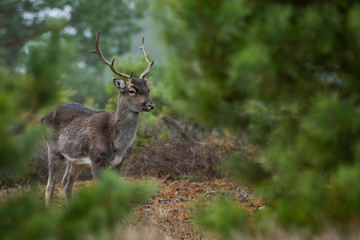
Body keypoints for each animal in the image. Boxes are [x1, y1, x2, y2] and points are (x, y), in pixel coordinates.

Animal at [42, 30, 155, 206]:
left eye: (148, 89)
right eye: (132, 90)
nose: (151, 105)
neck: (117, 144)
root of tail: (43, 118)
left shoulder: (118, 163)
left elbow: (112, 192)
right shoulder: (96, 160)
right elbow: (101, 192)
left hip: (75, 160)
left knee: (66, 183)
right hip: (54, 149)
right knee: (50, 184)